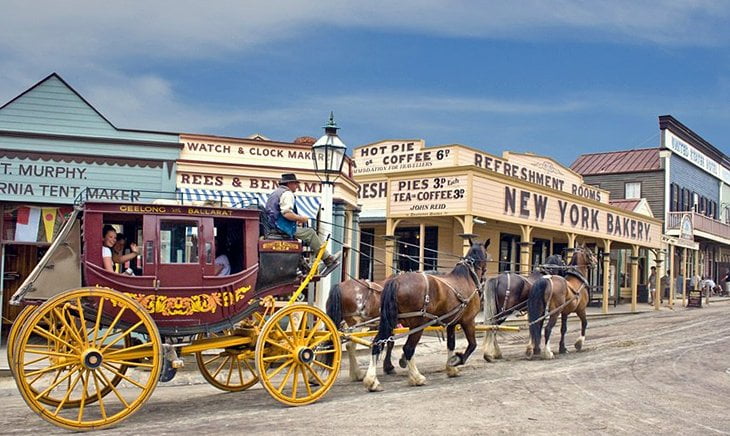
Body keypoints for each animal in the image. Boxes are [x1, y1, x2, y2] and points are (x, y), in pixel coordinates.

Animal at [362, 238, 486, 392]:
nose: (484, 278)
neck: (466, 278)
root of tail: (396, 280)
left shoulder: (451, 323)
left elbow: (451, 344)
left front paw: (451, 368)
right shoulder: (468, 321)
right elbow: (472, 345)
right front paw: (457, 360)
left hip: (390, 322)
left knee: (378, 343)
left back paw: (372, 381)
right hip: (418, 325)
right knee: (408, 348)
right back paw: (417, 377)